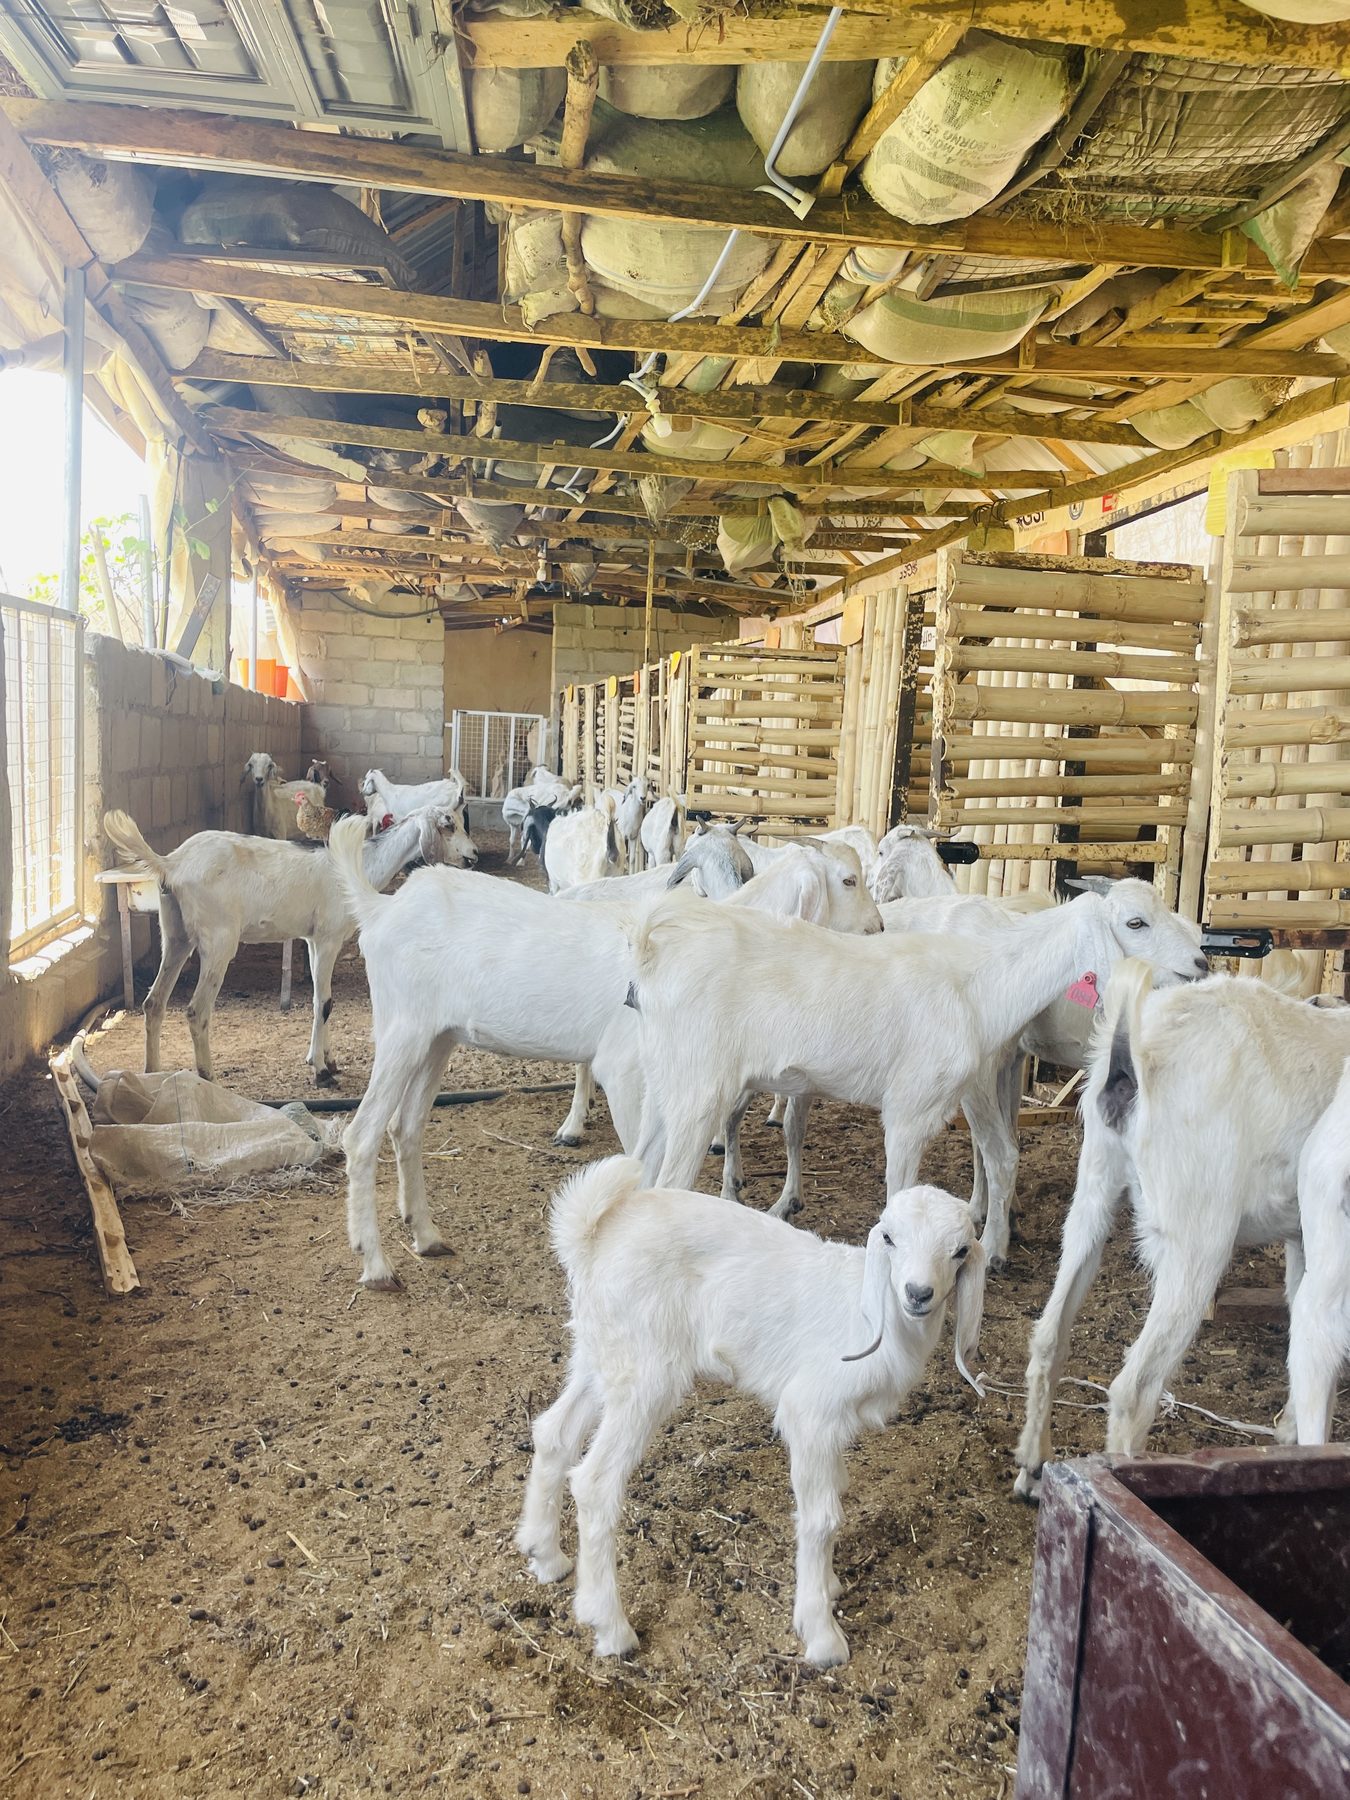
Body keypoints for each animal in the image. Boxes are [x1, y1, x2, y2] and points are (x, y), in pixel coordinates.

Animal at [103, 804, 475, 1086]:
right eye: (448, 824)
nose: (473, 856)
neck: (361, 864)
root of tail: (172, 863)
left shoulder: (311, 939)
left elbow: (317, 999)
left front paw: (323, 1058)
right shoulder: (328, 937)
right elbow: (325, 1002)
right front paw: (322, 1073)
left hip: (175, 935)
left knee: (154, 1003)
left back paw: (151, 1074)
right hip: (218, 940)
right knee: (196, 1009)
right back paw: (208, 1076)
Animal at [517, 1157, 985, 1666]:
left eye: (960, 1251)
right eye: (890, 1239)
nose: (918, 1293)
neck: (877, 1316)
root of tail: (589, 1236)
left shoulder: (833, 1427)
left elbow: (836, 1488)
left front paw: (828, 1585)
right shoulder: (810, 1411)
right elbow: (822, 1517)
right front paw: (821, 1634)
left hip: (599, 1352)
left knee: (553, 1433)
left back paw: (546, 1556)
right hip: (645, 1371)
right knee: (595, 1482)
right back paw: (610, 1624)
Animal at [1014, 962, 1350, 1500]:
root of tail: (1132, 1055)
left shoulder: (1304, 1236)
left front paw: (1288, 1434)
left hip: (1093, 1189)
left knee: (1049, 1335)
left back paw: (1031, 1467)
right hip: (1197, 1233)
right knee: (1135, 1386)